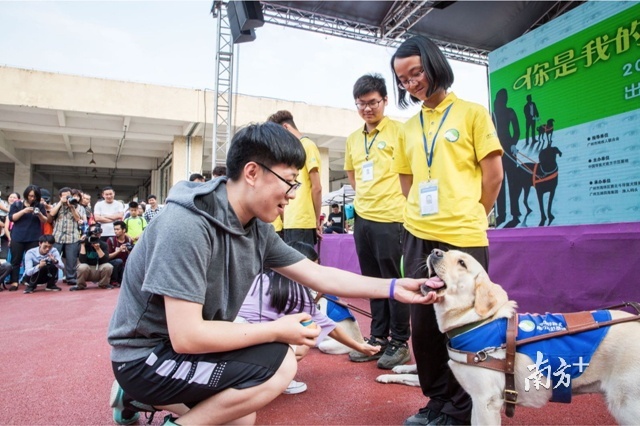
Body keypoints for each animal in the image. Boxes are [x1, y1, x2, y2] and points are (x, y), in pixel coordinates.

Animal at [420, 248, 640, 424]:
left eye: (462, 263)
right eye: (447, 252)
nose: (435, 251)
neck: (476, 321)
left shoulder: (486, 401)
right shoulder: (478, 400)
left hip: (627, 405)